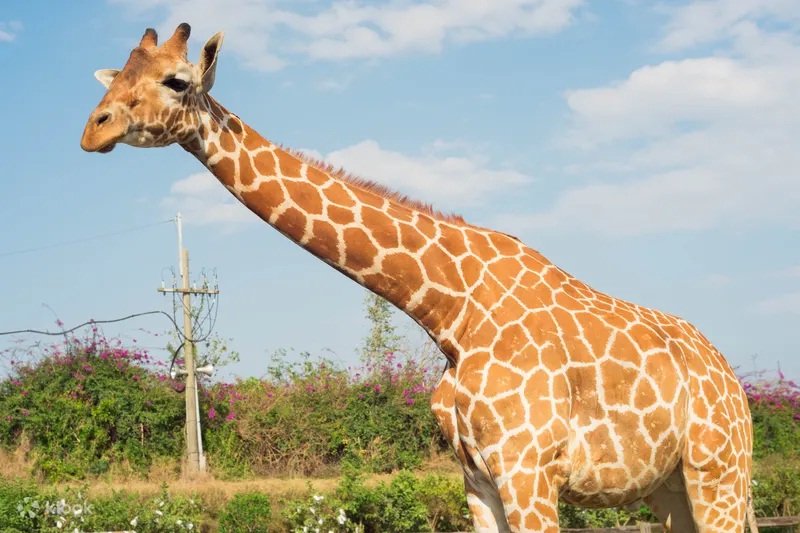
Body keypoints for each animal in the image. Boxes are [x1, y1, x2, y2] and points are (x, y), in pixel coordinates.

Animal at [78, 22, 760, 528]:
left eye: (176, 80)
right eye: (119, 77)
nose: (93, 129)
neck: (452, 312)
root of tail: (730, 376)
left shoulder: (530, 473)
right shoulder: (479, 479)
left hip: (719, 472)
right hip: (670, 487)